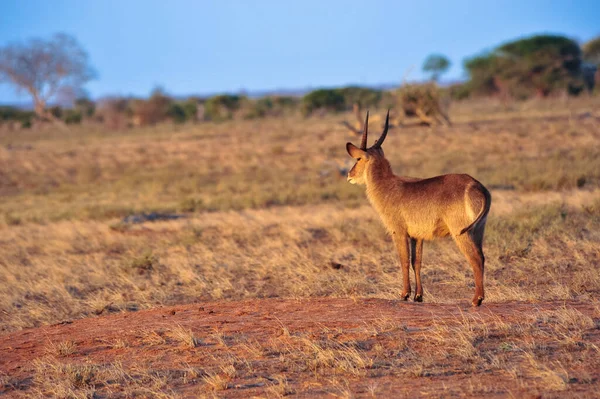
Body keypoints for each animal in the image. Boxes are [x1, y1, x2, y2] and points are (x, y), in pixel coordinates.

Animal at [346, 111, 492, 308]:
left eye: (358, 158)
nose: (349, 175)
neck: (387, 186)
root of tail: (477, 185)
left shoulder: (398, 232)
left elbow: (404, 260)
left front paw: (404, 294)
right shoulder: (418, 236)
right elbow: (417, 262)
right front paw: (418, 296)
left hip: (462, 233)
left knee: (475, 259)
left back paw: (477, 300)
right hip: (477, 231)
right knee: (482, 257)